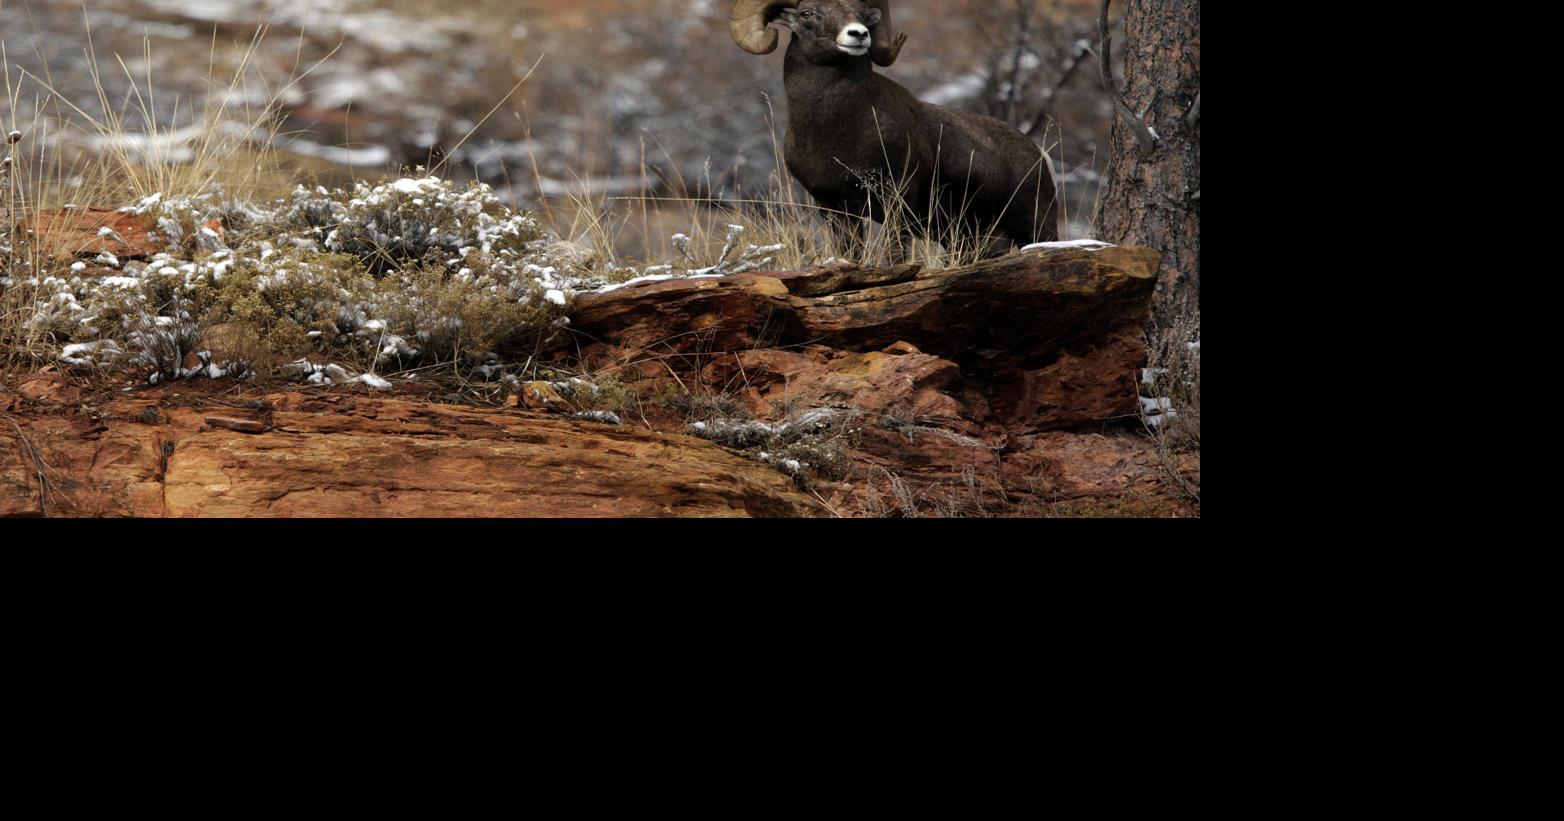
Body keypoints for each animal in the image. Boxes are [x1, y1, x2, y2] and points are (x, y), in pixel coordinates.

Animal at [730, 0, 1060, 258]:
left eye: (863, 14)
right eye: (808, 13)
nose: (858, 34)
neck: (836, 130)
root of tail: (1038, 154)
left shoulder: (897, 196)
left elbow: (895, 253)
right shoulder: (834, 209)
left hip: (1034, 222)